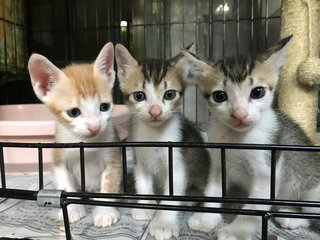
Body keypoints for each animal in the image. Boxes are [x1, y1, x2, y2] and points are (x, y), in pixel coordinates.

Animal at [27, 42, 122, 228]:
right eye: (74, 112)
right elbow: (65, 186)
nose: (95, 126)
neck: (85, 143)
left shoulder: (113, 158)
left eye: (104, 107)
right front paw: (71, 211)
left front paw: (105, 213)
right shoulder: (59, 159)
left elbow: (108, 186)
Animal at [114, 43, 210, 240]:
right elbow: (143, 183)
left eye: (169, 94)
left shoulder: (178, 163)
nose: (155, 112)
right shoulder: (139, 158)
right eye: (139, 96)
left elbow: (172, 194)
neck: (154, 136)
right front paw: (145, 207)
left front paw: (163, 224)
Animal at [180, 36, 320, 240]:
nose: (239, 114)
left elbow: (254, 207)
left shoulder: (267, 168)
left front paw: (235, 232)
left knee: (313, 214)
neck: (237, 139)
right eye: (219, 96)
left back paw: (292, 219)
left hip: (313, 192)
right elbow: (212, 190)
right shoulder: (218, 163)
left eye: (257, 92)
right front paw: (206, 219)